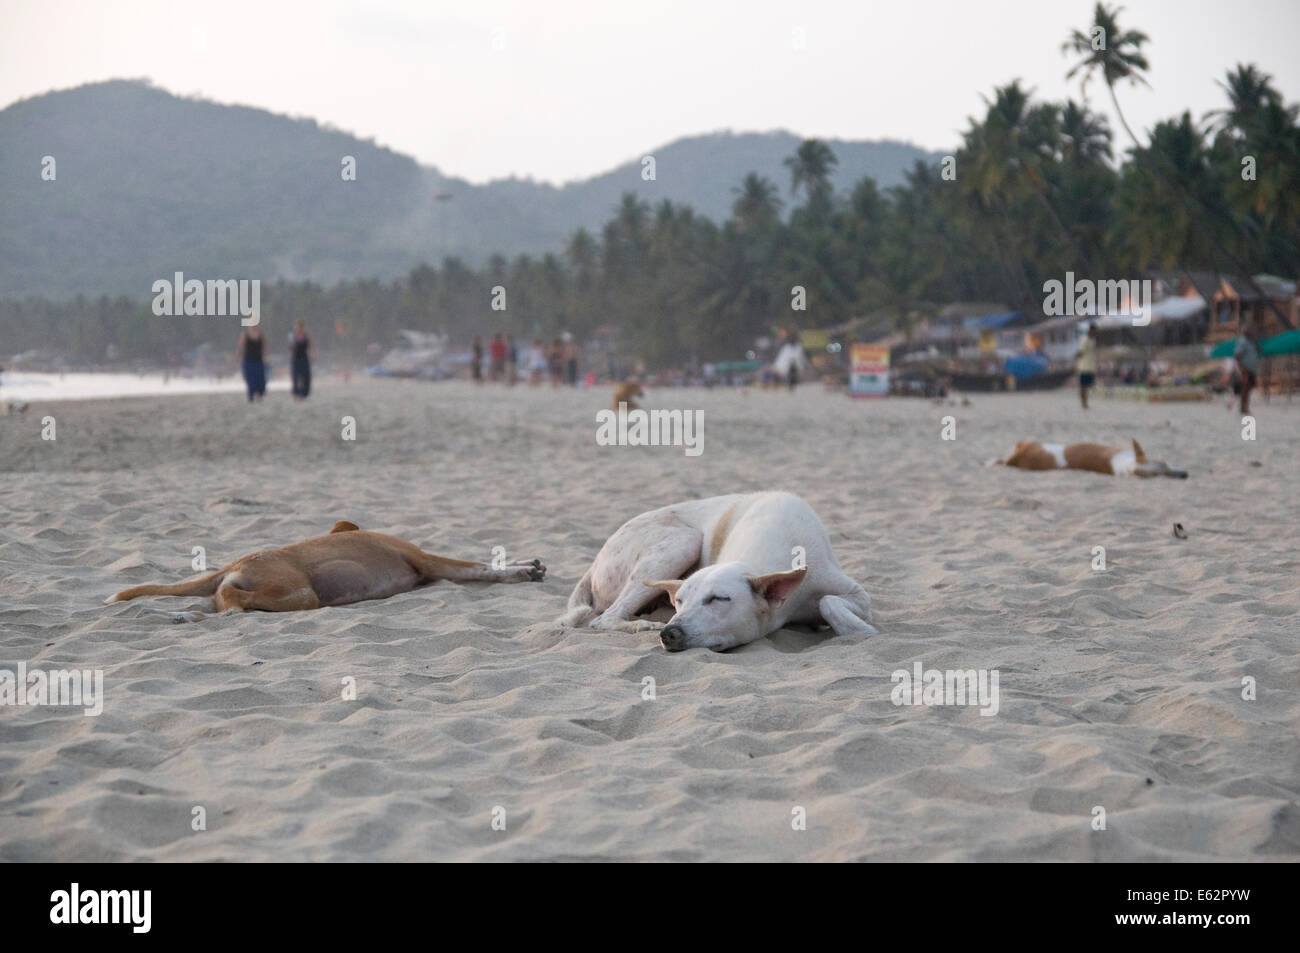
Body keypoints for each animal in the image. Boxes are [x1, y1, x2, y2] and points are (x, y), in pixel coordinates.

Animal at [559, 494, 873, 650]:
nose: (670, 633)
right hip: (682, 542)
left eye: (718, 599)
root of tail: (595, 561)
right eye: (680, 601)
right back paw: (644, 625)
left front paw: (860, 630)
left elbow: (828, 601)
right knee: (604, 618)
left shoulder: (854, 592)